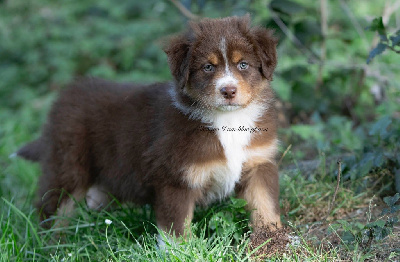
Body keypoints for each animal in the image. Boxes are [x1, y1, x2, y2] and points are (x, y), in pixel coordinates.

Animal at [18, 15, 282, 238]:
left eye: (243, 65)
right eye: (208, 67)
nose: (228, 91)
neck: (228, 121)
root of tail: (64, 97)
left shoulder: (259, 163)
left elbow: (265, 205)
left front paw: (273, 241)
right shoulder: (175, 177)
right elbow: (176, 231)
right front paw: (181, 253)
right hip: (69, 166)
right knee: (53, 210)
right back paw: (53, 245)